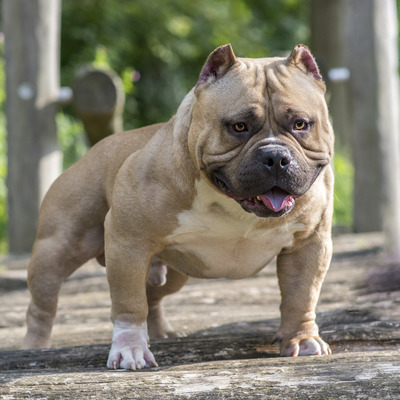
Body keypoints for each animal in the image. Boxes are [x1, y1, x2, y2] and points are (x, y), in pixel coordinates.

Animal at [21, 43, 334, 368]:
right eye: (239, 126)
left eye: (300, 124)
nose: (275, 157)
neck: (234, 205)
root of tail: (94, 150)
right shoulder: (127, 242)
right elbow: (129, 304)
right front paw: (130, 349)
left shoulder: (308, 246)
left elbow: (301, 296)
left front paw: (301, 338)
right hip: (57, 249)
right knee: (43, 305)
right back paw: (34, 348)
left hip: (173, 273)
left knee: (153, 296)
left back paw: (161, 334)